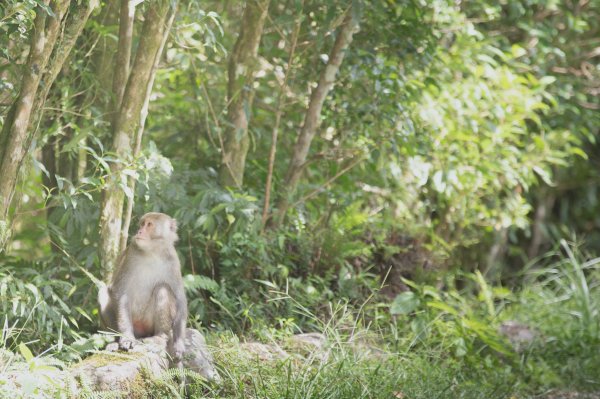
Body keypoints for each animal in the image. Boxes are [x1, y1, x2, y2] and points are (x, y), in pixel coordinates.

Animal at [98, 214, 188, 364]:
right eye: (142, 224)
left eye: (149, 224)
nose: (139, 231)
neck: (153, 252)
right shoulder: (131, 255)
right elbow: (120, 293)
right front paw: (126, 338)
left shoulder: (173, 261)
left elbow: (180, 300)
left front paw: (179, 344)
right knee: (103, 293)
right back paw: (116, 341)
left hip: (148, 325)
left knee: (162, 289)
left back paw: (159, 337)